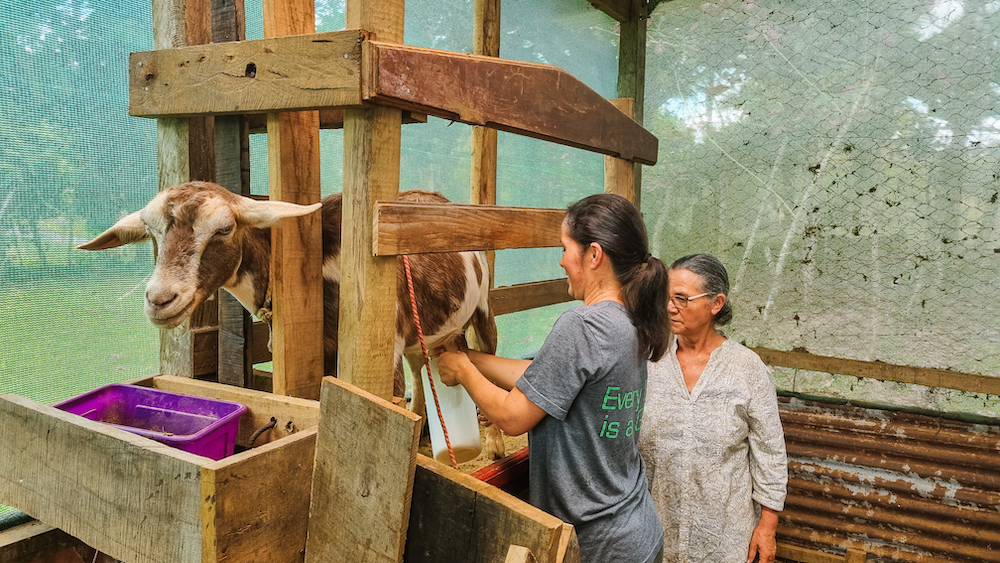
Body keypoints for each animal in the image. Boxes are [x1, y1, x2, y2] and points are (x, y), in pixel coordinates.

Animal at [79, 183, 504, 460]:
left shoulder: (386, 351)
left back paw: (496, 446)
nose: (160, 299)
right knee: (422, 367)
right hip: (423, 334)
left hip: (483, 307)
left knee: (488, 353)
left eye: (224, 229)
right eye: (151, 233)